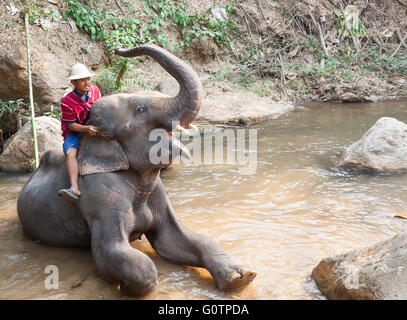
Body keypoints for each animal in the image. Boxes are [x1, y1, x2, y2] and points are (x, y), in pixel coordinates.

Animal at [18, 43, 258, 296]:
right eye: (141, 109)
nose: (118, 48)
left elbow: (174, 240)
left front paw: (241, 277)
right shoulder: (98, 195)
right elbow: (116, 255)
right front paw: (132, 287)